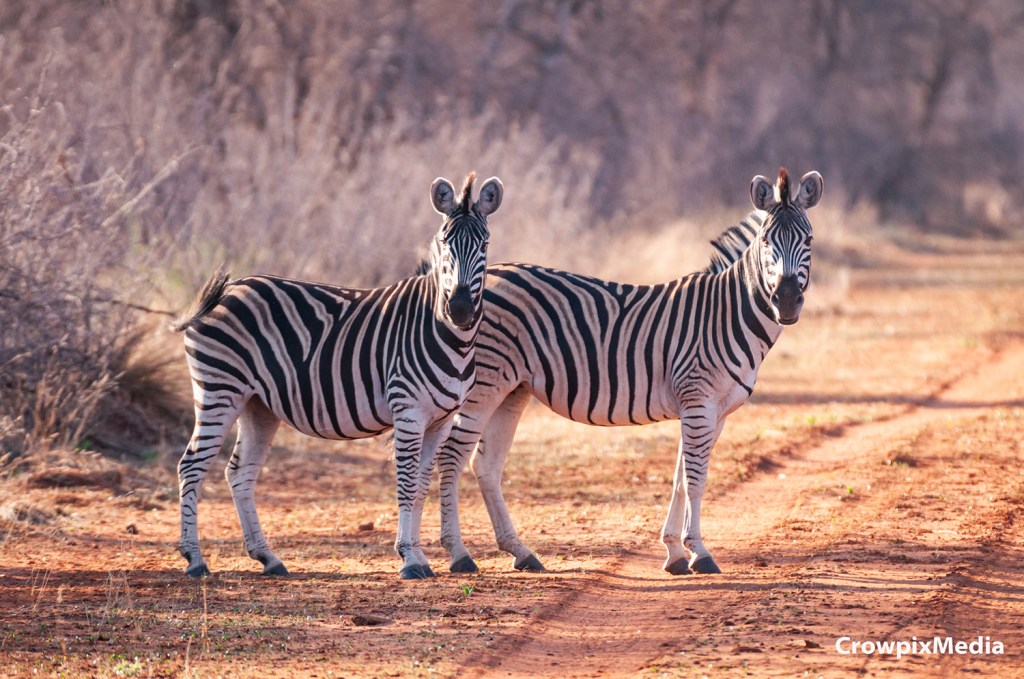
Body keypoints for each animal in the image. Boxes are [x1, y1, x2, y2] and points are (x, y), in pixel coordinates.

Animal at [172, 172, 503, 580]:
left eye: (484, 244)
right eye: (444, 243)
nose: (459, 309)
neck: (444, 332)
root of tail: (229, 288)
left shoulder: (440, 419)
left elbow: (422, 485)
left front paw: (420, 557)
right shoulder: (408, 411)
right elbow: (407, 483)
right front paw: (410, 558)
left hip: (257, 404)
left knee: (239, 473)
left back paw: (268, 558)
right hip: (219, 390)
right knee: (191, 465)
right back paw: (195, 559)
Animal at [435, 168, 822, 576]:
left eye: (808, 239)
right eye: (766, 241)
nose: (786, 301)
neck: (729, 313)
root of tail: (488, 274)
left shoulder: (713, 411)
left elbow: (680, 478)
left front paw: (675, 552)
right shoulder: (698, 402)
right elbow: (696, 479)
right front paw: (700, 553)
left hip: (511, 389)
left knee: (486, 464)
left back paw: (520, 551)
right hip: (482, 385)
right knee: (451, 456)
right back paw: (459, 554)